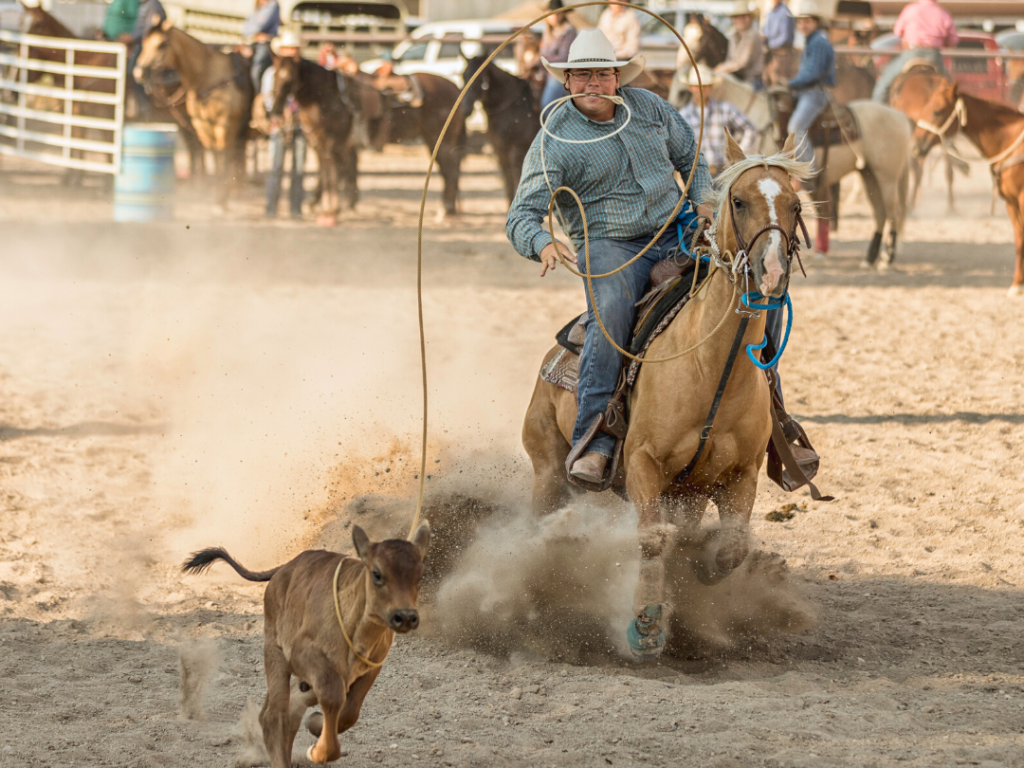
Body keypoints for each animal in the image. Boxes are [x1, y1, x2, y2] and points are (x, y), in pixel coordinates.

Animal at [135, 20, 252, 208]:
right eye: (144, 42)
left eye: (162, 44)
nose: (139, 72)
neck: (208, 77)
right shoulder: (203, 127)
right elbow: (214, 156)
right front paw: (218, 196)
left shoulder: (224, 127)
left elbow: (222, 157)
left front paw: (221, 201)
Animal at [182, 528, 430, 765]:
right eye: (377, 574)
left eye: (420, 576)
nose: (405, 617)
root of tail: (284, 569)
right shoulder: (303, 655)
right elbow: (332, 695)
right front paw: (318, 751)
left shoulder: (371, 667)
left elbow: (349, 712)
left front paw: (316, 724)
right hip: (275, 653)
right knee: (273, 716)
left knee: (285, 710)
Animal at [464, 54, 540, 204]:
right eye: (463, 75)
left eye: (480, 80)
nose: (464, 109)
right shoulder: (501, 153)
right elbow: (509, 187)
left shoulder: (517, 153)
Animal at [524, 135, 811, 659]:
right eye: (739, 201)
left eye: (795, 204)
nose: (772, 271)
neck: (710, 370)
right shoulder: (642, 463)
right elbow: (653, 541)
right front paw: (646, 626)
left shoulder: (739, 474)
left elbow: (731, 549)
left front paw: (698, 568)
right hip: (549, 468)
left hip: (687, 491)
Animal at [917, 82, 1024, 296]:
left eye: (937, 111)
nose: (915, 145)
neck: (1011, 142)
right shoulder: (1011, 203)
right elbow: (1019, 241)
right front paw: (1017, 284)